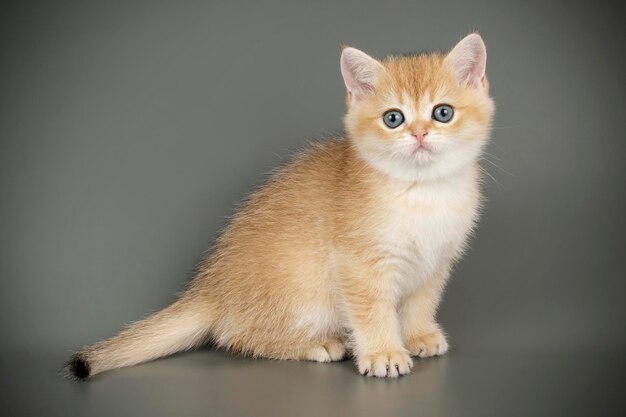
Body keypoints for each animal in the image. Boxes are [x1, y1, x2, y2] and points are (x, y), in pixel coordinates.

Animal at [67, 34, 492, 378]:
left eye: (442, 112)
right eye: (393, 118)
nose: (419, 133)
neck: (423, 192)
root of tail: (210, 288)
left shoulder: (435, 263)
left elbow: (420, 302)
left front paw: (418, 335)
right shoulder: (358, 265)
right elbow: (372, 311)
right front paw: (384, 353)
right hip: (301, 294)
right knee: (233, 335)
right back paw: (317, 344)